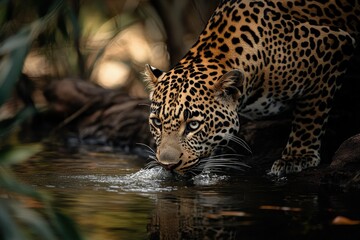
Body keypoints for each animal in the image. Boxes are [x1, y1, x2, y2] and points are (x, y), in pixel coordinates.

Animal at [144, 0, 360, 176]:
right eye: (157, 122)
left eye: (193, 125)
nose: (167, 166)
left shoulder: (335, 44)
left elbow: (310, 116)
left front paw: (297, 158)